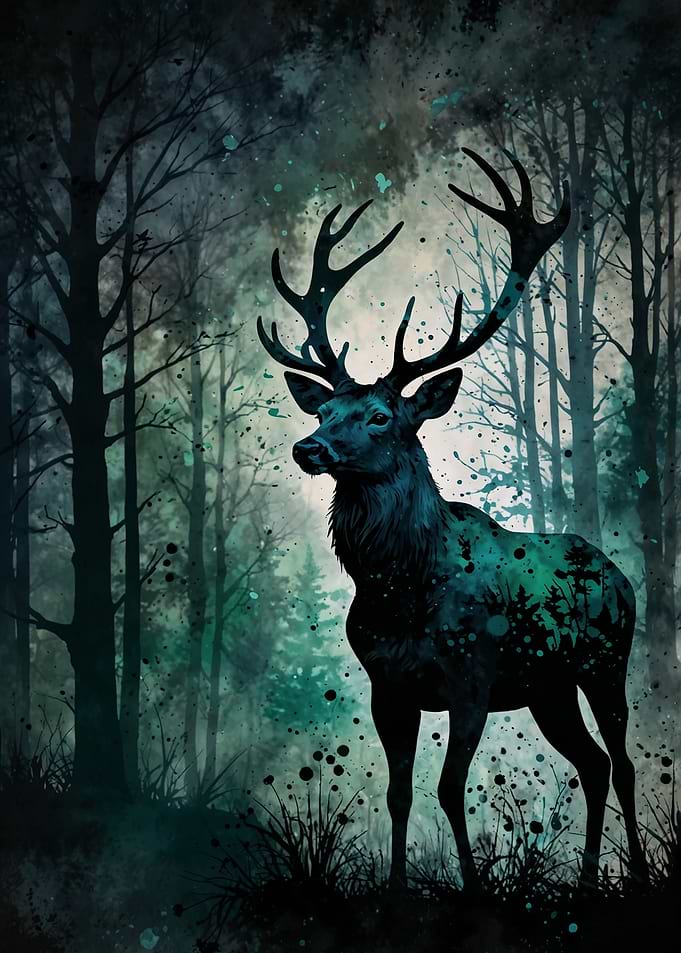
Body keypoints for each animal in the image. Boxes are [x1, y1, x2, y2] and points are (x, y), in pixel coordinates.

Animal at [257, 148, 648, 892]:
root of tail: (619, 573)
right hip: (547, 687)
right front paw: (397, 892)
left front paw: (473, 891)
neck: (402, 589)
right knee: (591, 763)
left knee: (624, 760)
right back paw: (586, 881)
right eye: (326, 410)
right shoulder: (388, 686)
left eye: (381, 416)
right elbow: (399, 792)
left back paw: (635, 876)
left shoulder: (471, 678)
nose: (308, 447)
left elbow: (446, 788)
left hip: (605, 660)